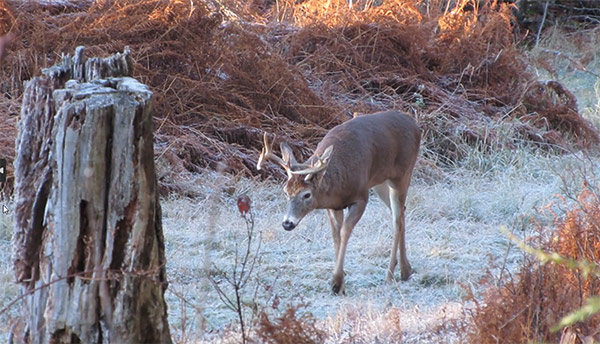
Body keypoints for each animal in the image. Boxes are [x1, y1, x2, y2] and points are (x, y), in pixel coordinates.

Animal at [255, 109, 420, 292]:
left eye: (307, 194)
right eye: (285, 191)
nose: (287, 223)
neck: (339, 188)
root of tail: (414, 124)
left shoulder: (361, 197)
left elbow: (345, 231)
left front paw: (337, 282)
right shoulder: (334, 206)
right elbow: (336, 235)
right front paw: (340, 282)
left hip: (403, 173)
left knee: (397, 220)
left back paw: (390, 275)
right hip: (380, 181)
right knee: (401, 212)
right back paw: (406, 270)